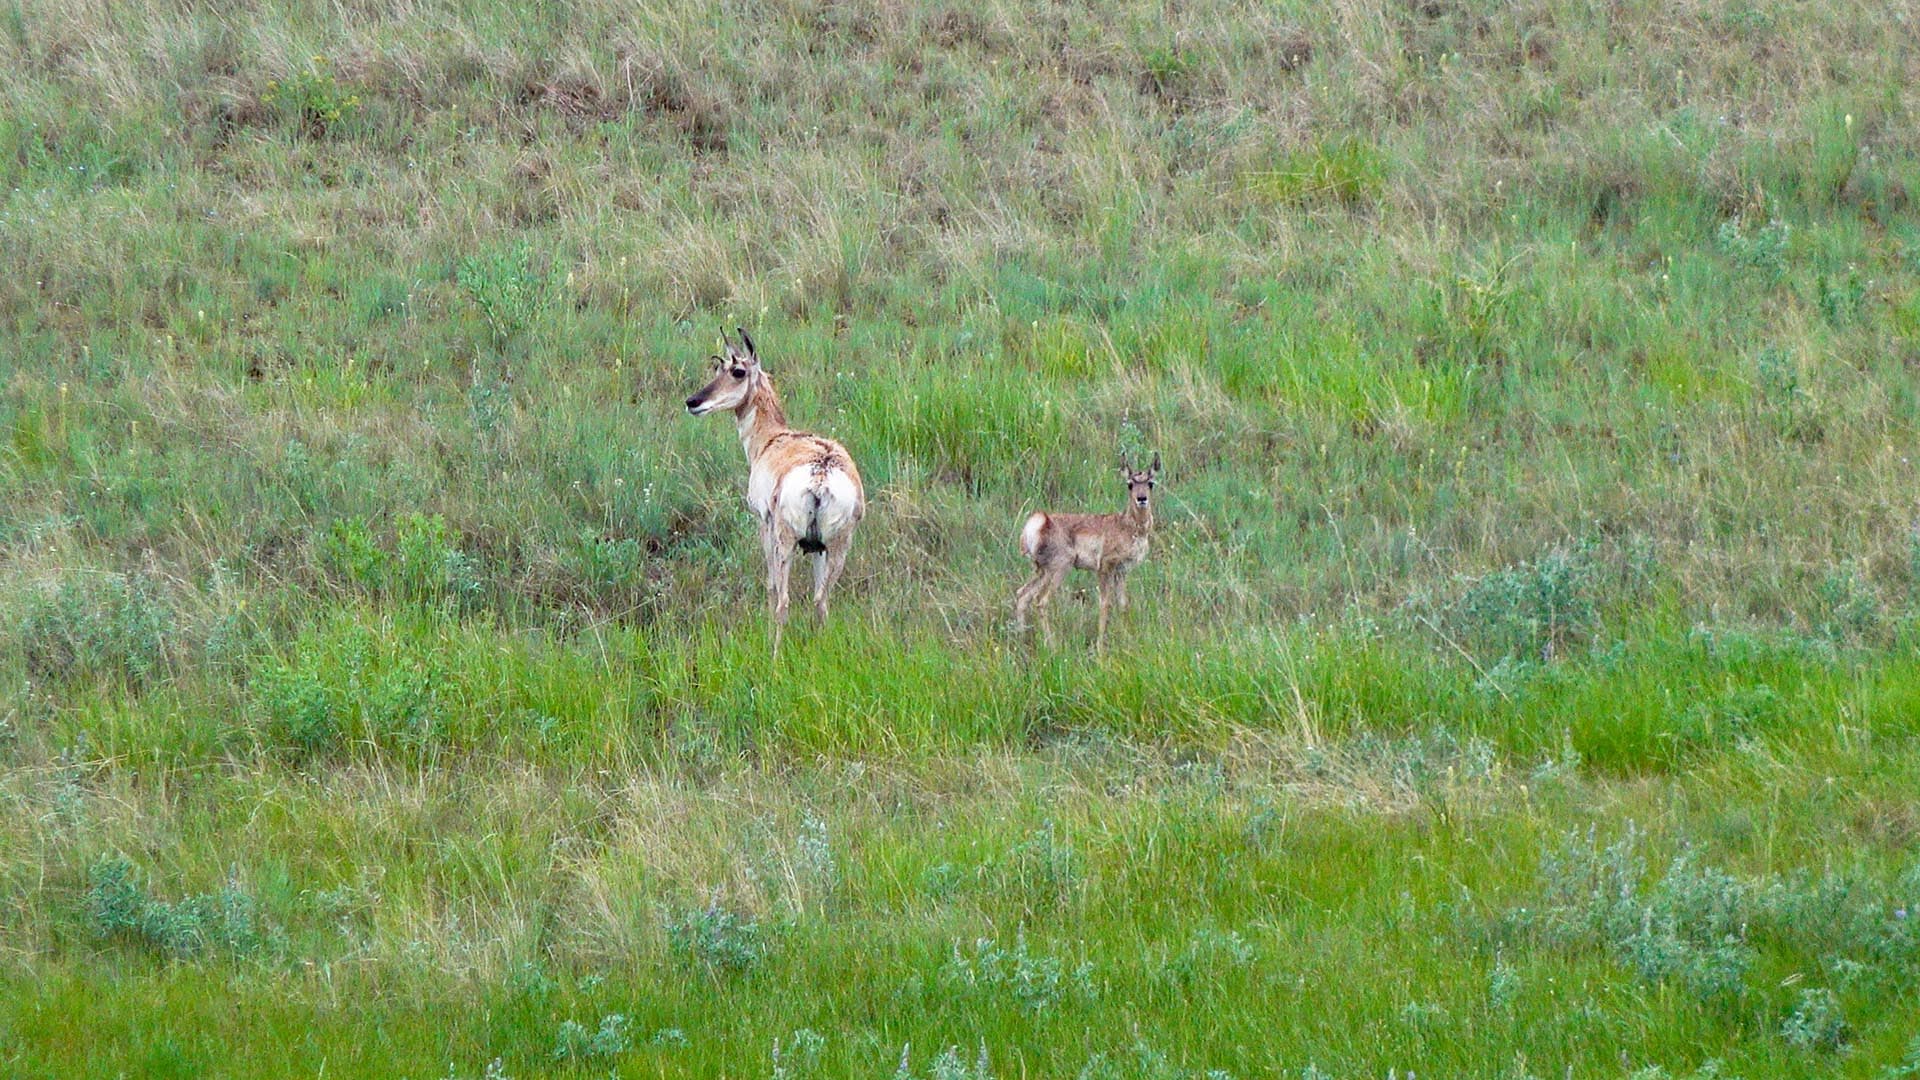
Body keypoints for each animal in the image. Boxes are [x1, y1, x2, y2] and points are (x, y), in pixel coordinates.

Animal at [685, 328, 865, 652]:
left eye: (738, 371)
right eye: (717, 368)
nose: (693, 401)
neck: (773, 439)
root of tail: (821, 474)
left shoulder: (763, 523)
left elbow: (769, 585)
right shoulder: (817, 547)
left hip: (786, 541)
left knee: (784, 601)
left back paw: (775, 655)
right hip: (838, 546)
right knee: (821, 601)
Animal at [1014, 453, 1160, 652]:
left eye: (1150, 483)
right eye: (1129, 484)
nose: (1142, 498)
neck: (1128, 526)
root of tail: (1040, 521)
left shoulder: (1121, 571)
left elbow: (1123, 604)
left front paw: (1128, 641)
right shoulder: (1104, 567)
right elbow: (1105, 603)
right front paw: (1100, 648)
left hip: (1042, 571)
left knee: (1022, 595)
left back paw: (1021, 642)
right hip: (1060, 568)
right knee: (1041, 600)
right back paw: (1053, 646)